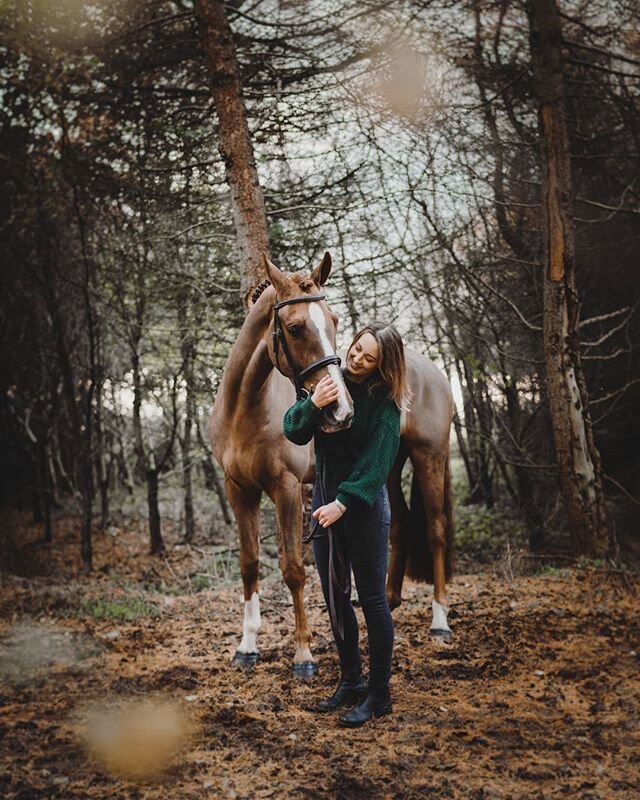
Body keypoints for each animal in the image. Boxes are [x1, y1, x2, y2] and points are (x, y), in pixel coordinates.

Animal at [210, 252, 456, 676]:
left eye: (335, 320)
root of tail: (433, 372)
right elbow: (249, 564)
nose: (340, 410)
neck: (245, 409)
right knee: (401, 523)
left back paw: (439, 621)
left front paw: (303, 654)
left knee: (436, 530)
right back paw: (388, 600)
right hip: (388, 467)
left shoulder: (287, 488)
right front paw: (246, 647)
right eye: (294, 328)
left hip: (431, 457)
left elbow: (293, 568)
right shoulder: (238, 490)